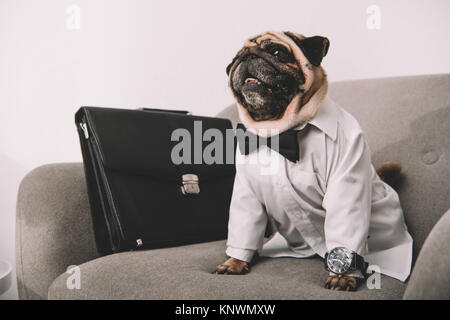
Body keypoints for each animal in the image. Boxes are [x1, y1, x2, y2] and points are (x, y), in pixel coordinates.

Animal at [213, 30, 410, 292]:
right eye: (233, 61)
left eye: (277, 52)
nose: (247, 57)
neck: (277, 130)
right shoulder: (246, 192)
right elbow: (244, 226)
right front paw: (234, 262)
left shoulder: (345, 183)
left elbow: (345, 227)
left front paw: (343, 275)